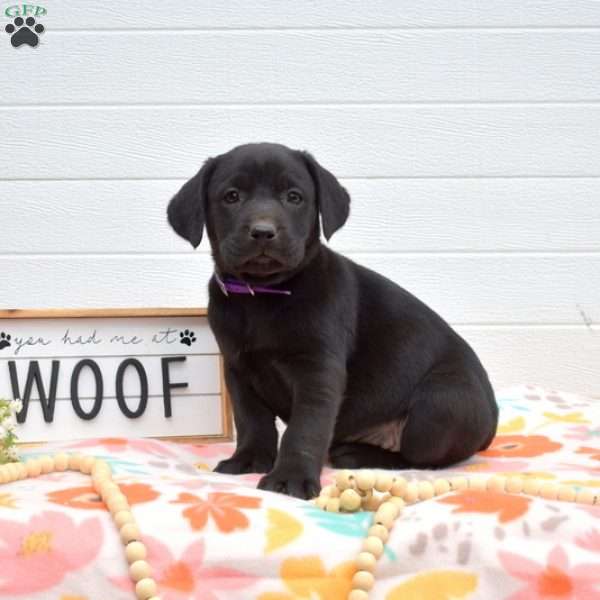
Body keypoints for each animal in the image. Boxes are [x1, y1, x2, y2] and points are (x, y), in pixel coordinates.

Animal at [166, 143, 500, 500]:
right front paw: (249, 458)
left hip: (441, 403)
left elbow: (305, 429)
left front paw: (291, 477)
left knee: (422, 458)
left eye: (294, 197)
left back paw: (357, 454)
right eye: (231, 196)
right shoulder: (238, 370)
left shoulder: (317, 371)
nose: (263, 232)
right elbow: (252, 421)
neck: (263, 296)